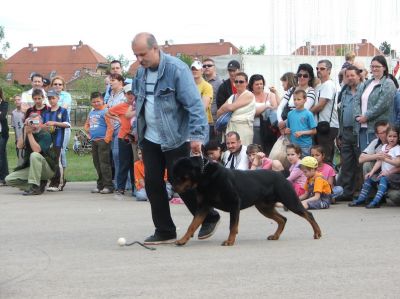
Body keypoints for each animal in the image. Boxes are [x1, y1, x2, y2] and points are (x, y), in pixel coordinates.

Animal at [172, 156, 322, 247]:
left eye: (180, 176)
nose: (173, 187)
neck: (205, 177)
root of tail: (282, 175)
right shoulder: (203, 206)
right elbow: (192, 224)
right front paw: (183, 240)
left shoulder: (234, 203)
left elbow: (232, 226)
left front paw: (230, 241)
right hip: (264, 207)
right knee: (282, 219)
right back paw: (275, 236)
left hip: (289, 200)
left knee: (308, 214)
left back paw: (317, 233)